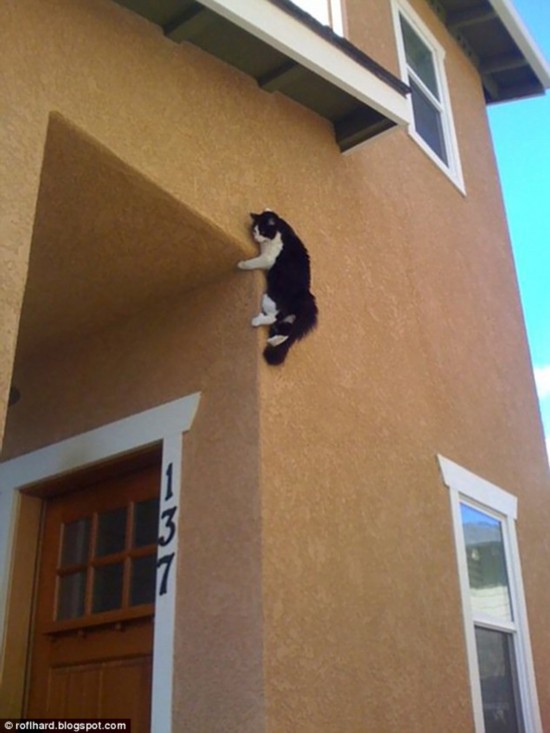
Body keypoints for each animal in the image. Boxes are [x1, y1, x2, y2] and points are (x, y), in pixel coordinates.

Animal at [237, 209, 320, 364]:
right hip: (288, 319)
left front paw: (241, 264)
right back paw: (273, 340)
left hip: (269, 299)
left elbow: (253, 262)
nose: (256, 237)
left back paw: (256, 321)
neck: (281, 231)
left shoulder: (267, 258)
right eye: (254, 230)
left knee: (273, 318)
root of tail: (307, 298)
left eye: (262, 231)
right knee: (286, 332)